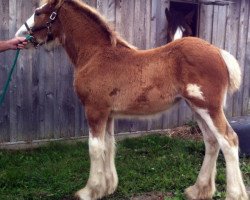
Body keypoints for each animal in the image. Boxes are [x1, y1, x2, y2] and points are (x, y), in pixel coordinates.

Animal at [16, 0, 248, 199]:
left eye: (38, 12)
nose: (20, 35)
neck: (96, 55)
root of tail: (218, 52)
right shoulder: (108, 114)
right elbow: (109, 145)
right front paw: (108, 187)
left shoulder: (94, 110)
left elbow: (94, 148)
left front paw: (90, 191)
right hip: (197, 108)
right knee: (211, 141)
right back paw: (198, 190)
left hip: (209, 107)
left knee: (229, 141)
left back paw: (234, 194)